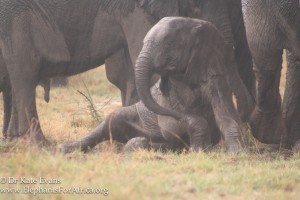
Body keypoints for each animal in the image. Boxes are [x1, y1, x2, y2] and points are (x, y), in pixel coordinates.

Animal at [59, 17, 245, 154]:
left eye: (169, 46)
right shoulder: (168, 96)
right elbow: (172, 124)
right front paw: (199, 149)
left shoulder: (216, 77)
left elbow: (226, 116)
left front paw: (234, 153)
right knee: (112, 120)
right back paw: (65, 149)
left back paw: (138, 143)